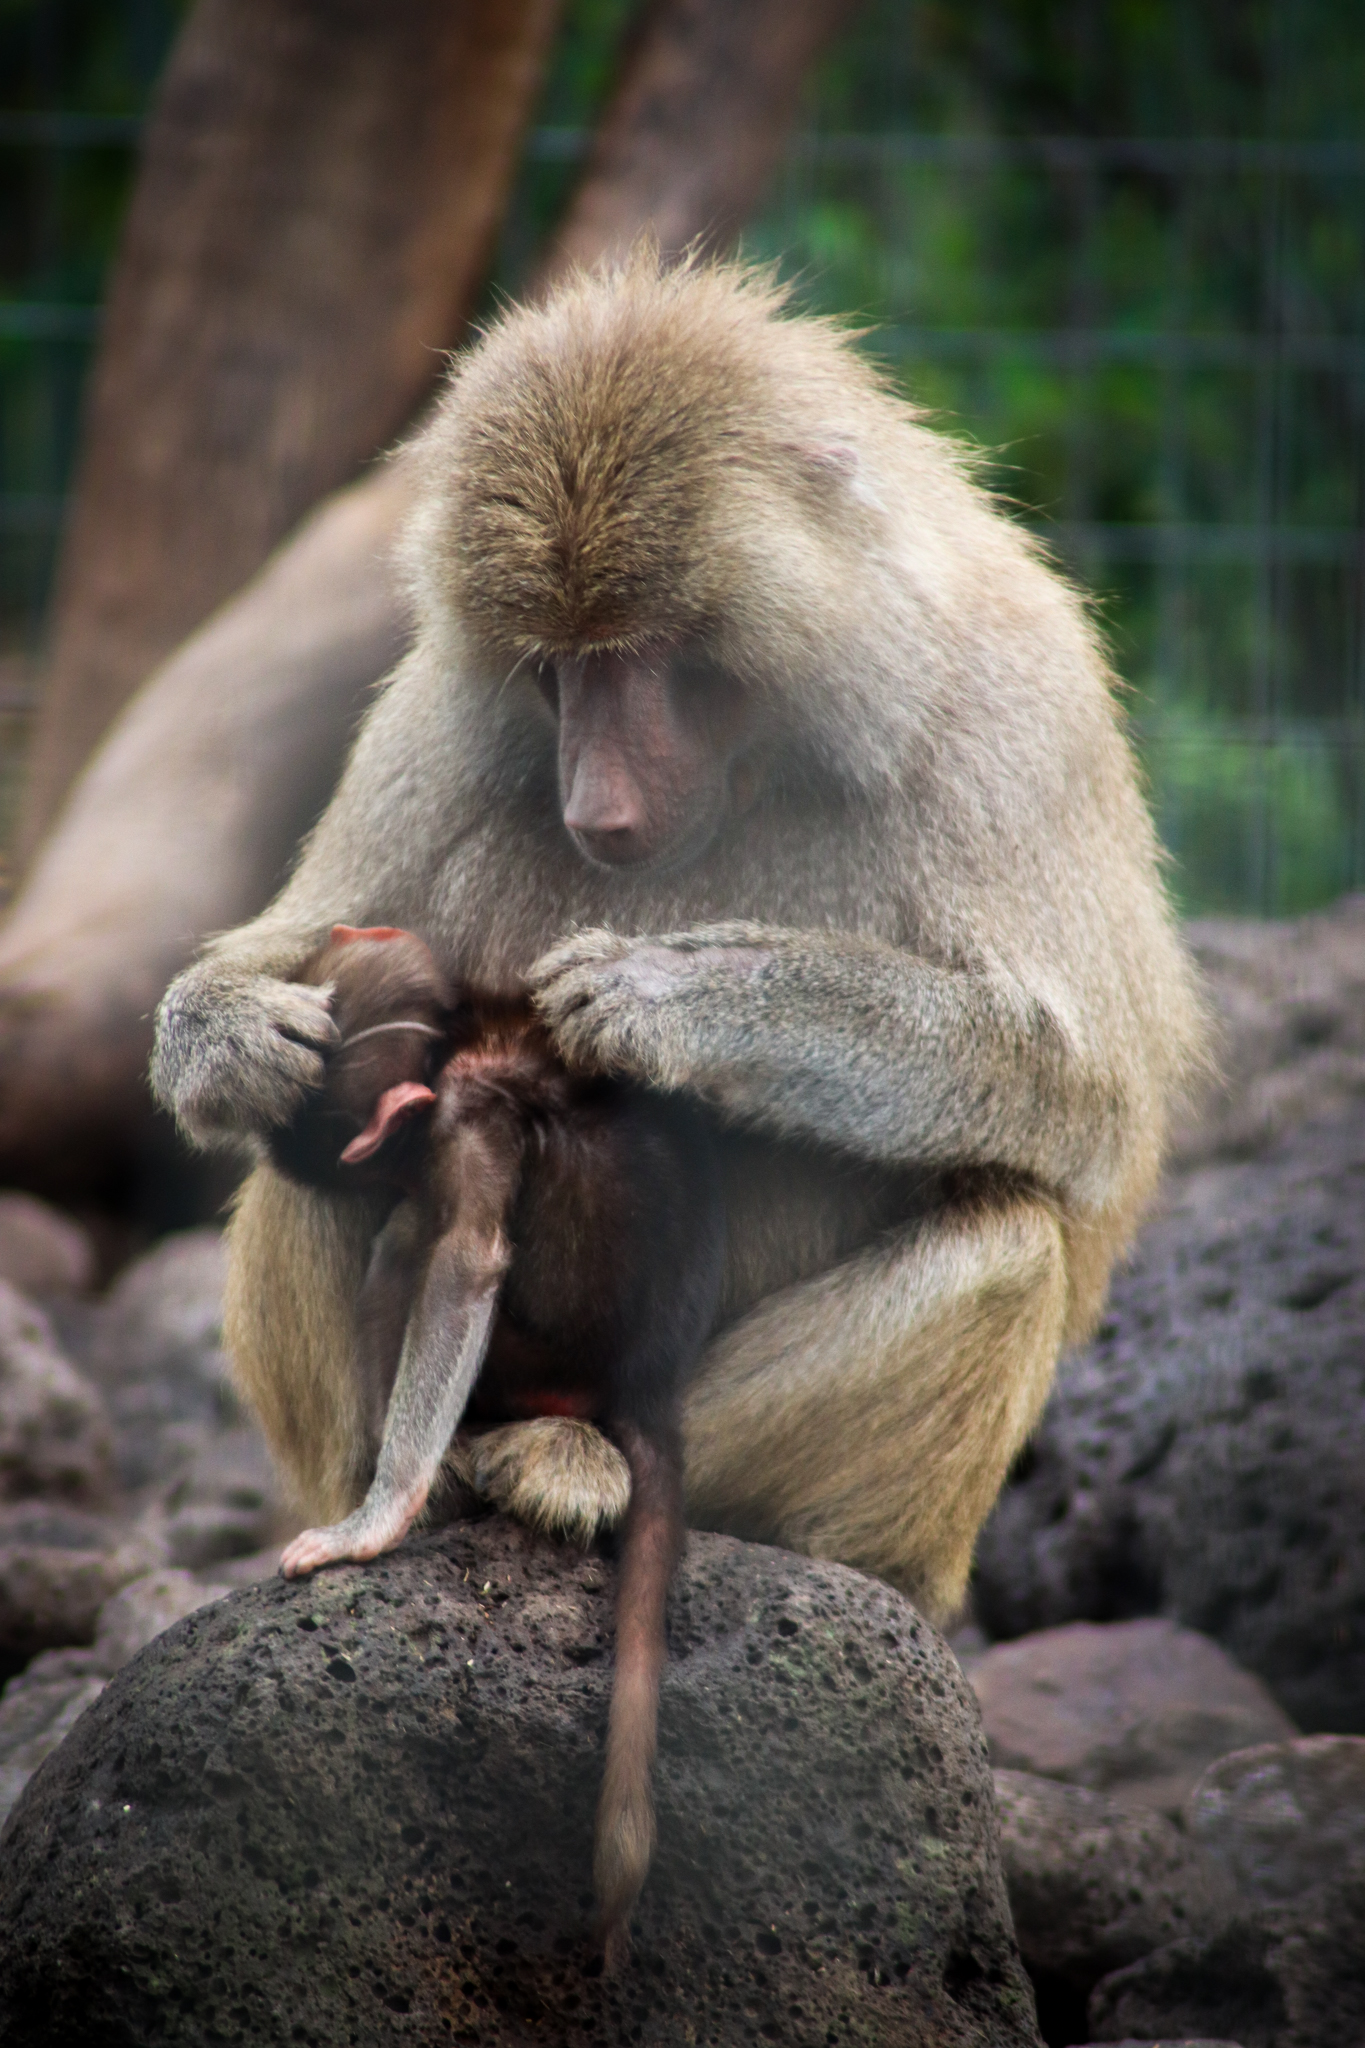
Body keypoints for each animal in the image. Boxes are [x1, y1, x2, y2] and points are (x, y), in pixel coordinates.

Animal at [152, 247, 1209, 1637]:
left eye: (653, 657)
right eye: (551, 667)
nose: (598, 807)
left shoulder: (1017, 704)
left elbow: (1088, 1096)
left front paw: (689, 998)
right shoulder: (439, 712)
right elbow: (299, 942)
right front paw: (222, 1036)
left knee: (1008, 1240)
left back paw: (590, 1471)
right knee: (305, 1157)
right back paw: (419, 1489)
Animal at [263, 921, 724, 1963]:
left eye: (364, 1157)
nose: (381, 1172)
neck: (460, 1037)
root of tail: (642, 1387)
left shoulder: (463, 1125)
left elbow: (466, 1260)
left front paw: (377, 1515)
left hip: (536, 1361)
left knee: (411, 1245)